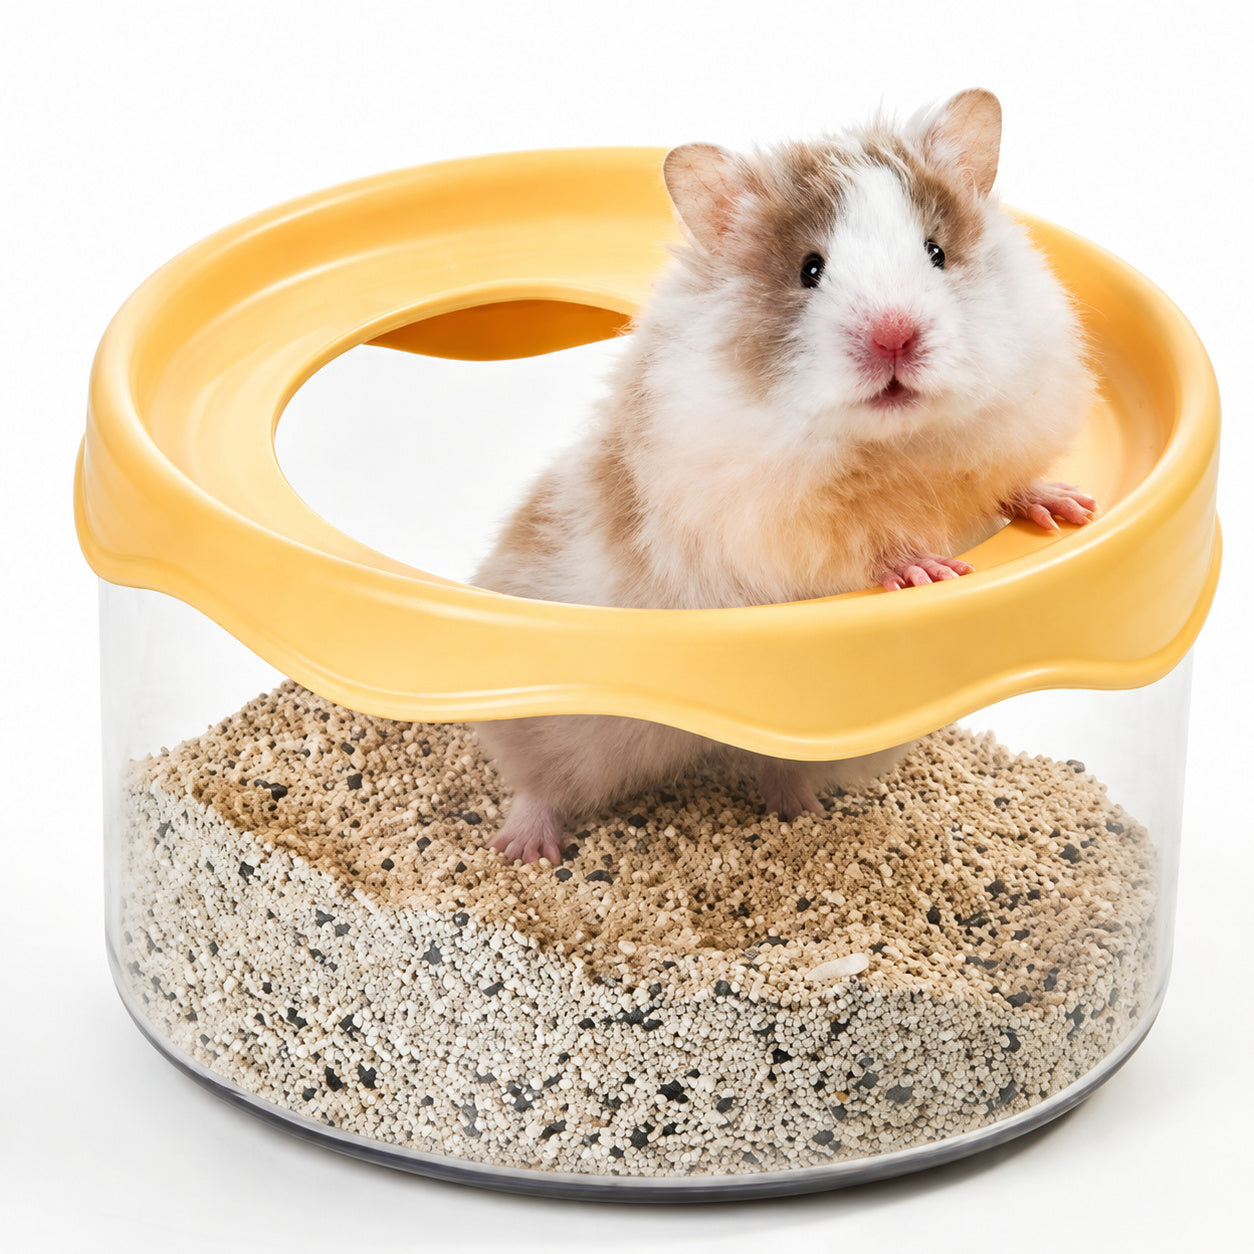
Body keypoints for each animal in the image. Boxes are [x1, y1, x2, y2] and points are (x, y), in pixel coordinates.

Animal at [471, 89, 1095, 864]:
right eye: (810, 269)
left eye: (936, 252)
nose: (896, 336)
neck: (895, 446)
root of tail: (703, 747)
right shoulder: (767, 531)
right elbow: (861, 544)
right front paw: (927, 571)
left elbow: (1003, 487)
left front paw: (1067, 507)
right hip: (548, 721)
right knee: (536, 785)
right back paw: (527, 851)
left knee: (779, 772)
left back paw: (803, 814)